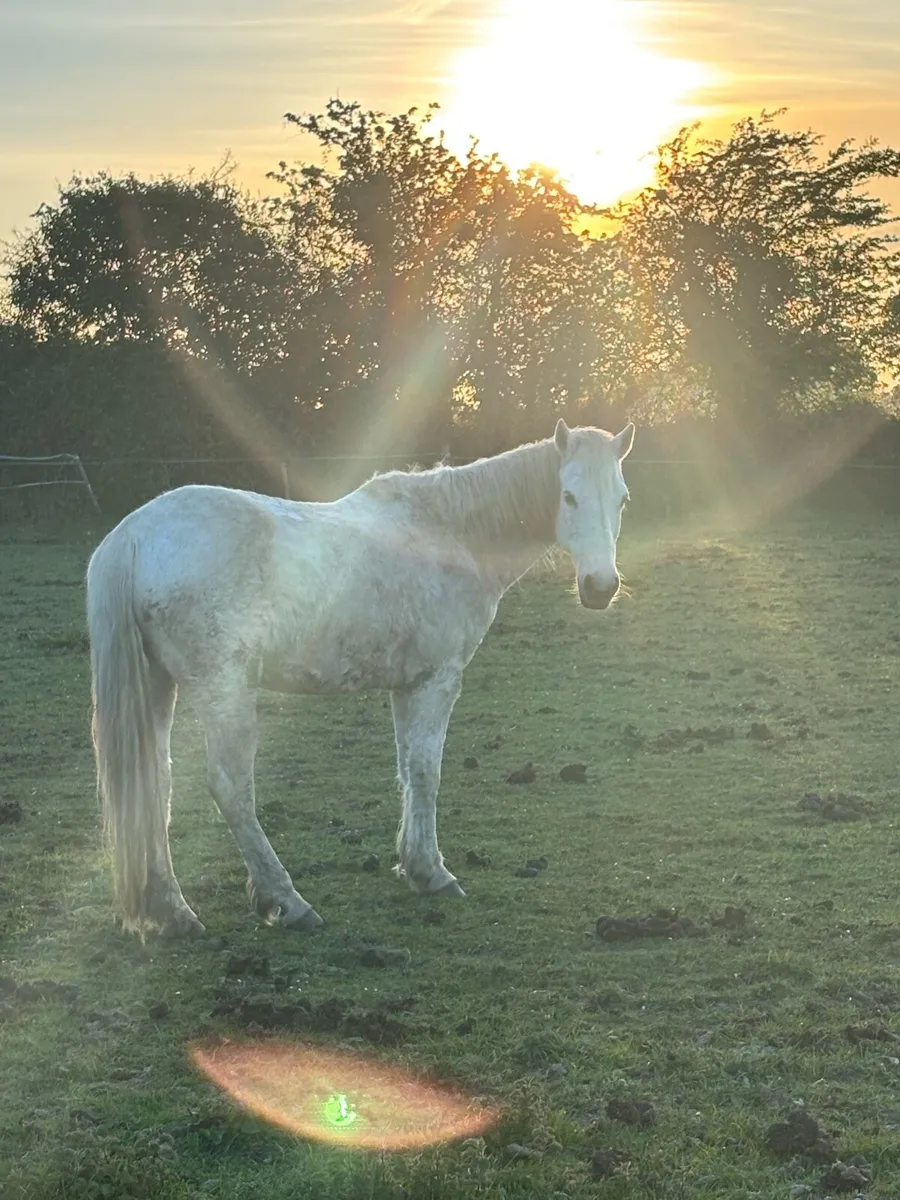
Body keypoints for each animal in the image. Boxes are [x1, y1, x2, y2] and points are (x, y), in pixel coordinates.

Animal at [86, 418, 634, 937]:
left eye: (622, 498)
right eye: (569, 495)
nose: (600, 588)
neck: (450, 533)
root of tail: (133, 535)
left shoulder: (406, 685)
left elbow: (406, 768)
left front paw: (413, 865)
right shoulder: (437, 680)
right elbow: (426, 771)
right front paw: (433, 872)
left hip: (159, 687)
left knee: (154, 785)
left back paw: (171, 911)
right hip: (224, 691)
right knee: (230, 788)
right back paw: (286, 901)